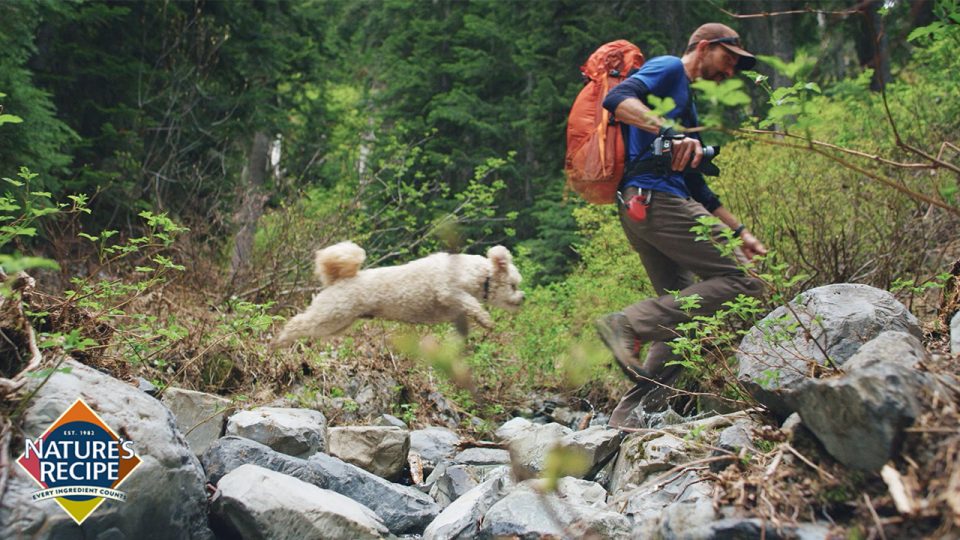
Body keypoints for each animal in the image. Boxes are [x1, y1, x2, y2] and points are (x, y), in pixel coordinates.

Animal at [270, 240, 524, 346]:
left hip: (338, 323)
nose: (523, 298)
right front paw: (486, 320)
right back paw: (278, 342)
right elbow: (471, 302)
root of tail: (339, 279)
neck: (481, 275)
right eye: (513, 284)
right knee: (297, 323)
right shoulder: (447, 291)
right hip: (331, 314)